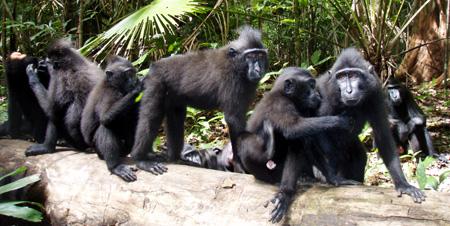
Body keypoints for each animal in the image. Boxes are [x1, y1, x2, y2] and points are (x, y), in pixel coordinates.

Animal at [130, 26, 268, 175]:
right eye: (250, 56)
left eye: (260, 56)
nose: (258, 69)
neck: (236, 65)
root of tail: (154, 66)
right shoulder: (232, 81)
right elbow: (234, 120)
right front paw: (240, 166)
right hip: (155, 83)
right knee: (151, 116)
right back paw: (140, 159)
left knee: (176, 116)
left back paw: (175, 158)